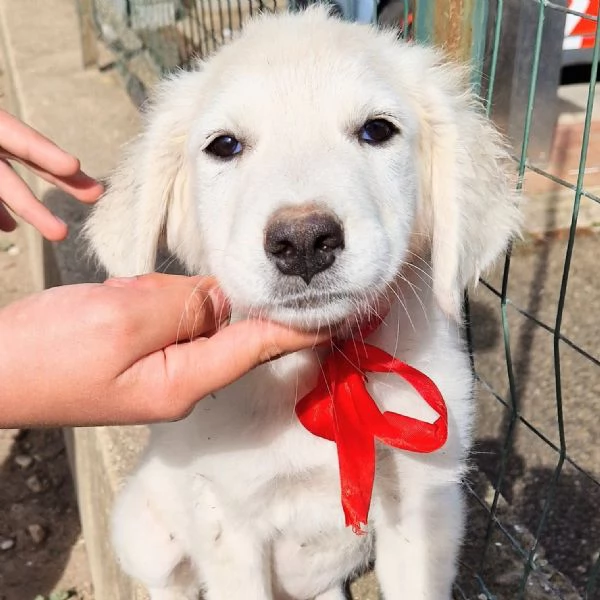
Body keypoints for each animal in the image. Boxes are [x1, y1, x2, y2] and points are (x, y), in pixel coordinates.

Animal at [84, 7, 520, 596]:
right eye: (224, 145)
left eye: (377, 130)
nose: (304, 242)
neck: (326, 371)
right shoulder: (229, 523)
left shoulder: (425, 506)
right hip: (142, 530)